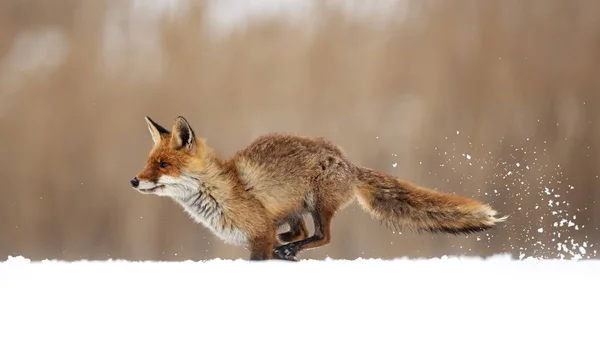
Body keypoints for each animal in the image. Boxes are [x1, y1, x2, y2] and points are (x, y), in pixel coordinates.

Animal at [131, 115, 506, 260]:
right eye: (149, 162)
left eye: (163, 165)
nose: (134, 180)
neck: (219, 191)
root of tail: (347, 161)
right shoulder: (262, 231)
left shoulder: (259, 233)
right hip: (297, 209)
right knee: (300, 233)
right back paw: (288, 247)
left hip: (317, 204)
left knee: (322, 236)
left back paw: (291, 249)